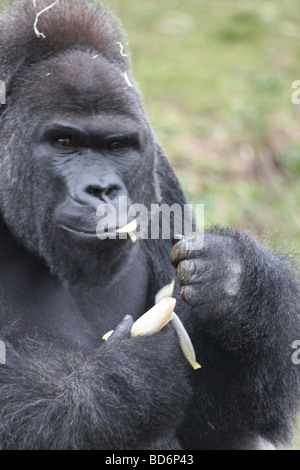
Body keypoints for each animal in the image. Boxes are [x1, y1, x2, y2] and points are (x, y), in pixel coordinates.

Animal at [0, 0, 298, 450]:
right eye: (64, 142)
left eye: (116, 145)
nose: (102, 189)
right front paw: (128, 377)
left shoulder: (157, 167)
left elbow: (216, 417)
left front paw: (236, 281)